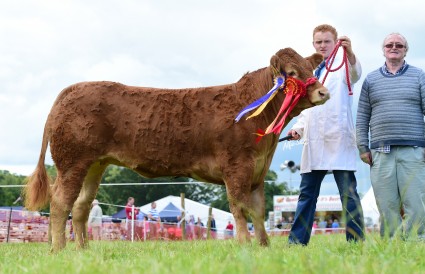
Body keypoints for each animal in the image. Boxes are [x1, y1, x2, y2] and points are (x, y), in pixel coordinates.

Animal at [24, 47, 328, 253]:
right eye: (291, 74)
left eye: (311, 70)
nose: (323, 92)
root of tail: (71, 90)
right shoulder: (237, 167)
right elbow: (240, 208)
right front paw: (245, 245)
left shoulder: (258, 171)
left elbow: (258, 210)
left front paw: (264, 247)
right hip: (72, 162)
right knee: (60, 202)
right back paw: (58, 249)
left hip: (94, 165)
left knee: (81, 206)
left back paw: (82, 250)